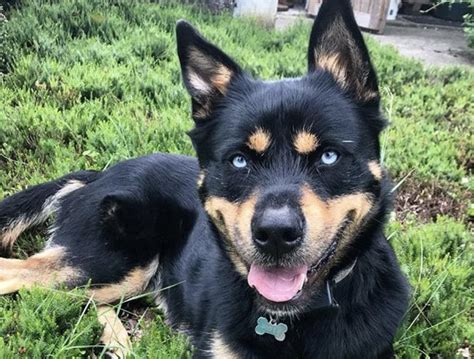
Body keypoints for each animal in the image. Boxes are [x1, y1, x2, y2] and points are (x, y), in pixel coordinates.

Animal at [0, 0, 408, 358]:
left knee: (83, 301)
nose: (275, 234)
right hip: (109, 259)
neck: (292, 319)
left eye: (328, 156)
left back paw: (118, 341)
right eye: (239, 161)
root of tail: (99, 174)